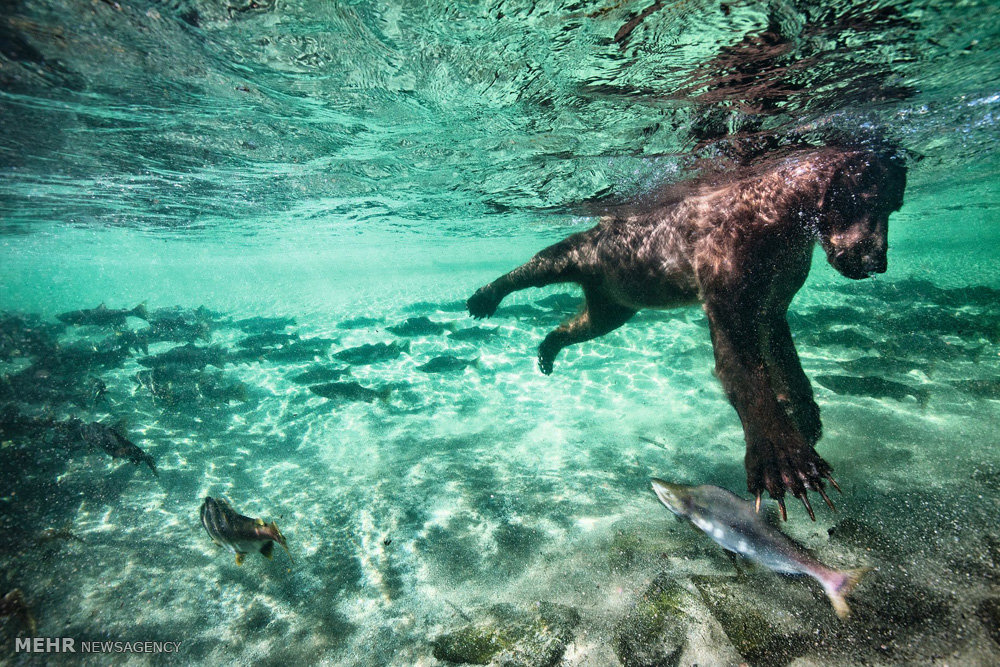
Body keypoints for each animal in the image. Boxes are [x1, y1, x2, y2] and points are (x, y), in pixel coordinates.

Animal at [468, 147, 908, 520]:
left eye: (895, 206)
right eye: (867, 199)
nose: (877, 260)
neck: (782, 221)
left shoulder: (775, 296)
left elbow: (784, 356)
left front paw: (806, 418)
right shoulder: (729, 278)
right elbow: (744, 371)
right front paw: (788, 463)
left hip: (616, 301)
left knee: (586, 324)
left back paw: (547, 350)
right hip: (584, 252)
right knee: (539, 266)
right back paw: (483, 297)